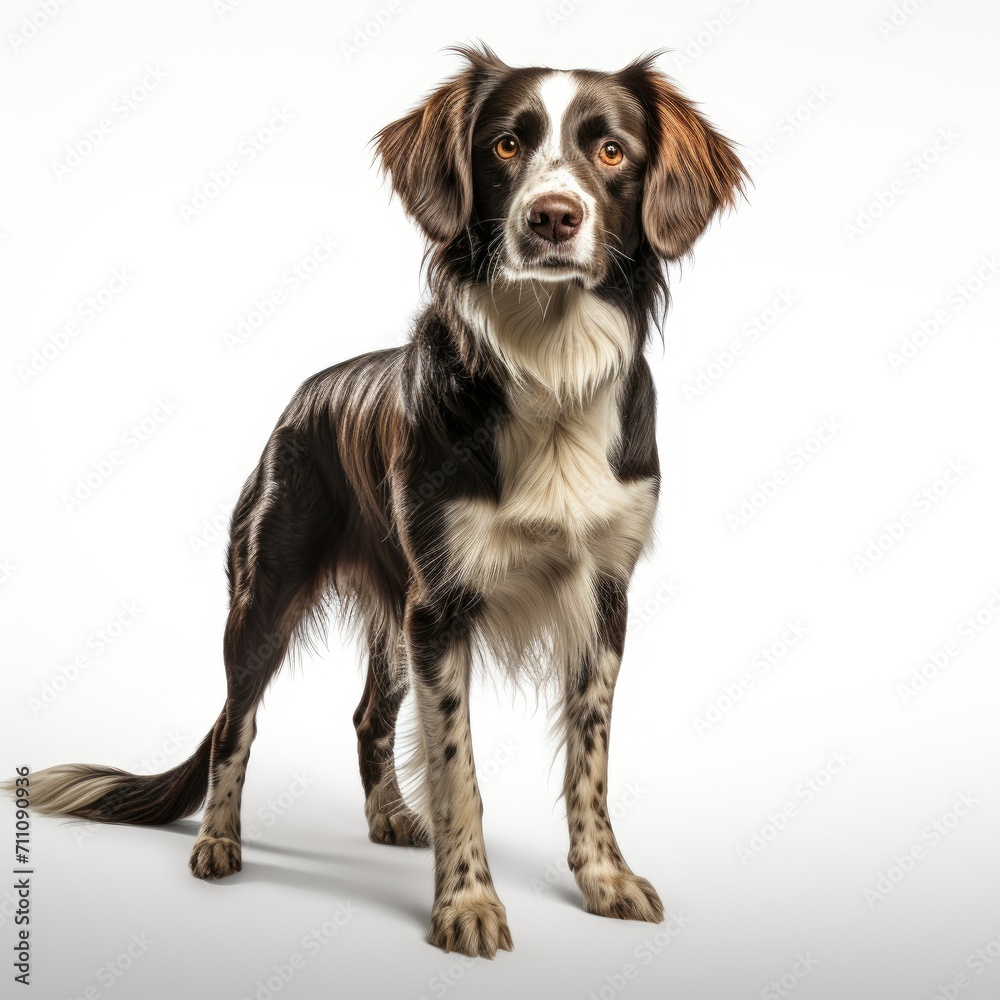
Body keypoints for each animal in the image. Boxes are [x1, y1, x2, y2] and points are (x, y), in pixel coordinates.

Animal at [11, 47, 748, 960]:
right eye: (506, 145)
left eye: (611, 152)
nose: (552, 218)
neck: (550, 362)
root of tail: (301, 399)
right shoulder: (442, 607)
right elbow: (459, 769)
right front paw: (467, 906)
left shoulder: (601, 597)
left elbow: (590, 757)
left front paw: (604, 878)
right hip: (267, 598)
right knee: (234, 726)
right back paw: (218, 841)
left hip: (395, 615)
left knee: (367, 716)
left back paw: (391, 815)